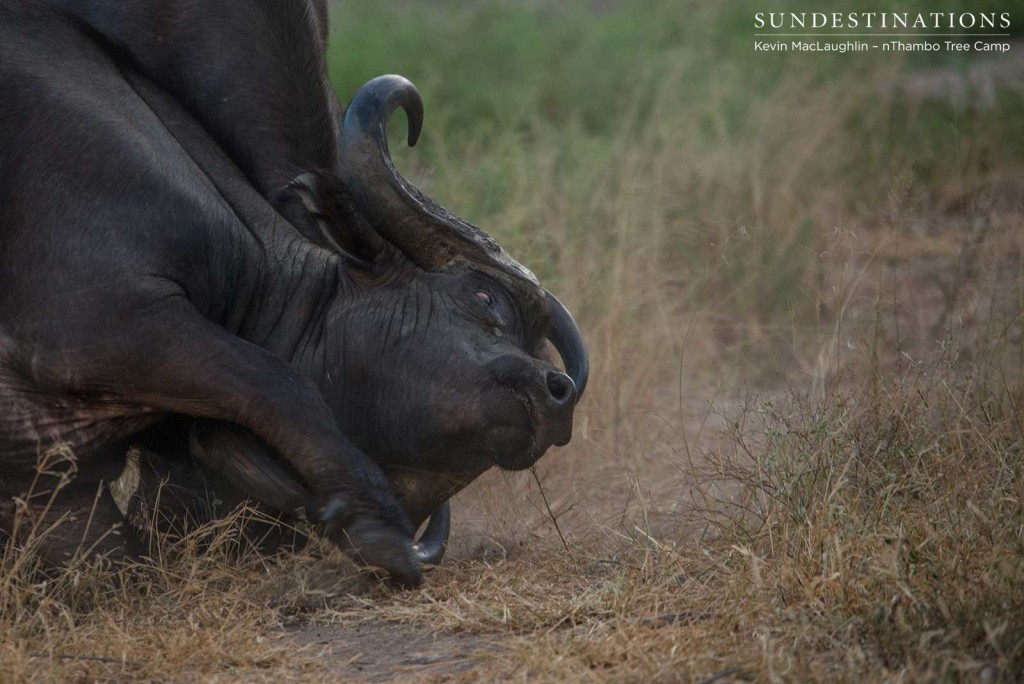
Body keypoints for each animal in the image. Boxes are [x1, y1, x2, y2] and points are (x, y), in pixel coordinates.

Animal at [0, 1, 589, 589]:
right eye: (486, 297)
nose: (558, 393)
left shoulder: (59, 493)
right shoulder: (104, 318)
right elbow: (280, 383)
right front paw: (375, 523)